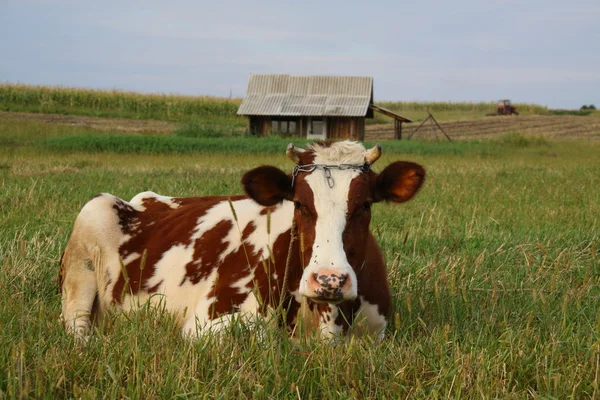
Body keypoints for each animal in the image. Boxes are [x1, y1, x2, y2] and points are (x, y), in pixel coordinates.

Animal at [59, 141, 426, 340]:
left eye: (365, 205)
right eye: (299, 204)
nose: (328, 280)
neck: (326, 319)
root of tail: (145, 199)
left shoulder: (377, 332)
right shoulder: (204, 324)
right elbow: (264, 337)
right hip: (86, 241)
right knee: (76, 329)